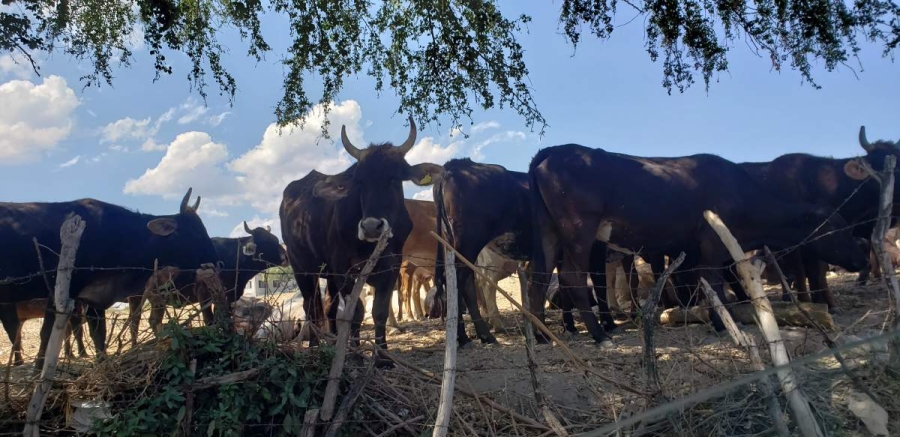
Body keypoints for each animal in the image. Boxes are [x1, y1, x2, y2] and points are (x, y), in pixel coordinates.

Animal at [0, 188, 216, 368]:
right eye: (192, 232)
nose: (215, 261)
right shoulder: (58, 292)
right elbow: (46, 334)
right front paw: (38, 370)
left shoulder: (95, 298)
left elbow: (99, 334)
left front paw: (102, 363)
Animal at [278, 116, 440, 358]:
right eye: (360, 182)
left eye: (394, 179)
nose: (372, 227)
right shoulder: (343, 268)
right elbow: (355, 313)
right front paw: (355, 355)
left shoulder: (391, 266)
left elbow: (379, 311)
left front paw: (382, 357)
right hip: (302, 268)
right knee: (310, 306)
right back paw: (316, 345)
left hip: (328, 275)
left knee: (329, 307)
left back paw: (334, 341)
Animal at [432, 158, 624, 346]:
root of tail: (455, 165)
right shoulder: (595, 247)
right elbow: (599, 282)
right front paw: (608, 323)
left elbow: (563, 284)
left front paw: (568, 326)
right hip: (468, 243)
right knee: (460, 283)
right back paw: (465, 337)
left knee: (464, 284)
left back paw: (483, 336)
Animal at [532, 143, 868, 344]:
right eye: (838, 227)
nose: (863, 257)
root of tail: (556, 150)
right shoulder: (712, 242)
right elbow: (716, 281)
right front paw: (725, 324)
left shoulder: (696, 247)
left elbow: (705, 282)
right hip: (579, 231)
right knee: (572, 278)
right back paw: (600, 335)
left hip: (549, 233)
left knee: (540, 278)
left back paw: (541, 336)